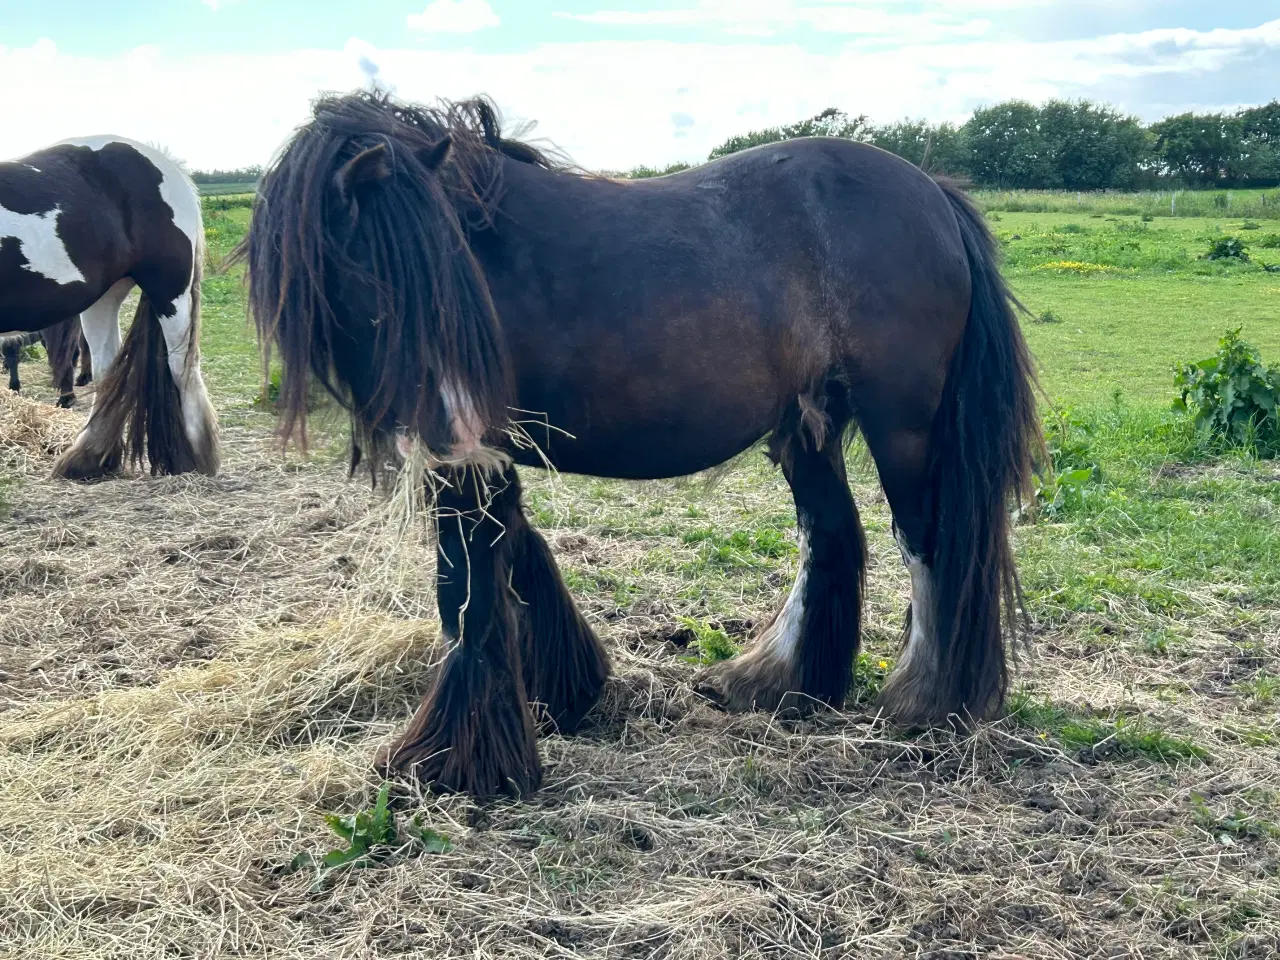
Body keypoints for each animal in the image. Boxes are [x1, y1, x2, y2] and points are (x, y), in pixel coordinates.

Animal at [0, 135, 220, 481]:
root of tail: (165, 162)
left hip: (169, 291)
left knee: (182, 365)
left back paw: (197, 459)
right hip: (103, 298)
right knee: (107, 368)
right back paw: (88, 458)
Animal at [244, 90, 1044, 798]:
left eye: (444, 278)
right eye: (372, 282)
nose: (456, 432)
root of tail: (933, 193)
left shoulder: (473, 462)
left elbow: (466, 590)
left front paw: (453, 763)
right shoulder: (492, 455)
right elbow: (513, 555)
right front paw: (562, 692)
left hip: (903, 427)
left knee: (930, 546)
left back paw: (925, 701)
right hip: (807, 423)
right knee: (831, 535)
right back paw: (775, 683)